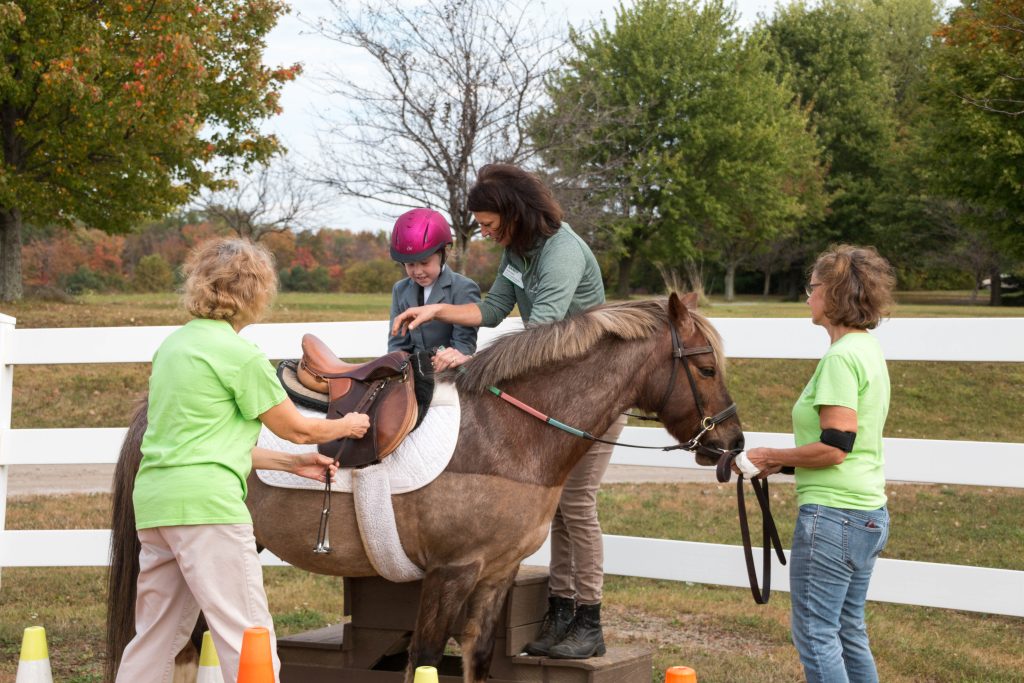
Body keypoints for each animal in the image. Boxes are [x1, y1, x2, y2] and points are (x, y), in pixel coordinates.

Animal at [105, 294, 745, 683]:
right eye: (706, 368)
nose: (732, 443)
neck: (507, 433)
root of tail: (153, 408)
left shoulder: (495, 575)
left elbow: (478, 659)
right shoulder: (449, 573)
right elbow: (427, 659)